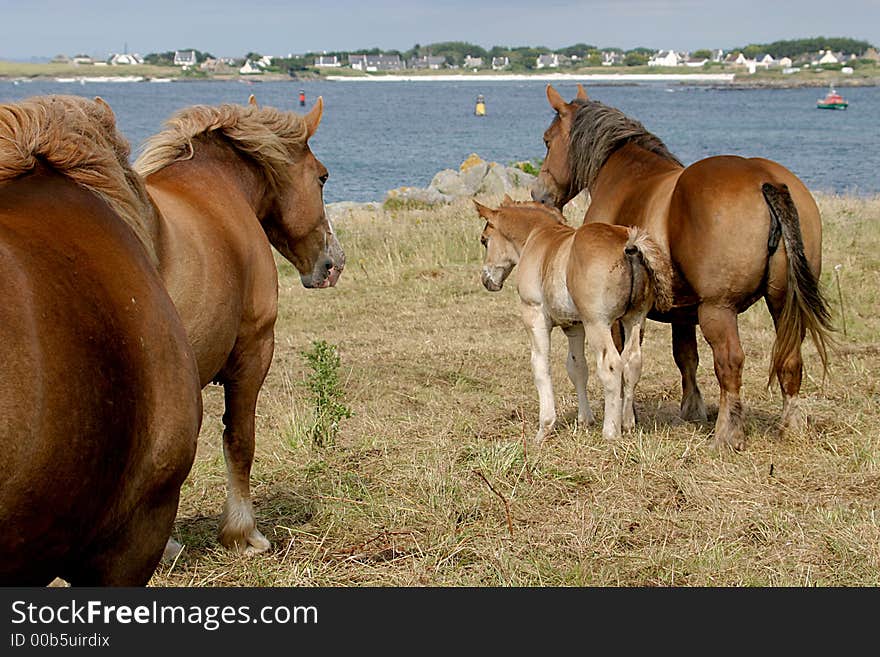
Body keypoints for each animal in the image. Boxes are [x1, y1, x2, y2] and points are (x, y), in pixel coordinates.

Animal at [478, 196, 672, 440]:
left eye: (484, 240)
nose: (487, 280)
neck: (538, 238)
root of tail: (629, 245)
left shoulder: (535, 315)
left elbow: (540, 365)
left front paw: (544, 427)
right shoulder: (574, 326)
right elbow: (577, 367)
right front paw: (585, 419)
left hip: (597, 323)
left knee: (611, 365)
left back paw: (611, 431)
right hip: (634, 319)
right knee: (633, 361)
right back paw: (627, 423)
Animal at [528, 84, 832, 448]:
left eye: (547, 140)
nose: (539, 194)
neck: (626, 179)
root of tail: (765, 180)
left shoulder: (617, 315)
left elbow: (623, 360)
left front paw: (624, 416)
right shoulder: (683, 312)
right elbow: (686, 356)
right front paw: (692, 409)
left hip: (719, 309)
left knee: (730, 363)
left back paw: (726, 434)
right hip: (782, 302)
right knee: (790, 359)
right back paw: (790, 425)